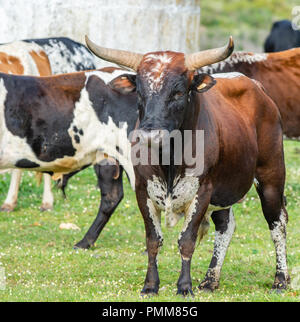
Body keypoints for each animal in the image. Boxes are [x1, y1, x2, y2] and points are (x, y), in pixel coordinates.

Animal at [85, 36, 290, 296]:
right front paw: (150, 285)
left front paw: (184, 286)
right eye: (140, 92)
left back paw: (281, 280)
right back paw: (210, 280)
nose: (150, 135)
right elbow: (153, 240)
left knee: (277, 223)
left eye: (178, 92)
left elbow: (187, 240)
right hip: (225, 189)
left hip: (271, 176)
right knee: (225, 226)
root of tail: (256, 87)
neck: (169, 160)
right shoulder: (143, 190)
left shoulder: (202, 191)